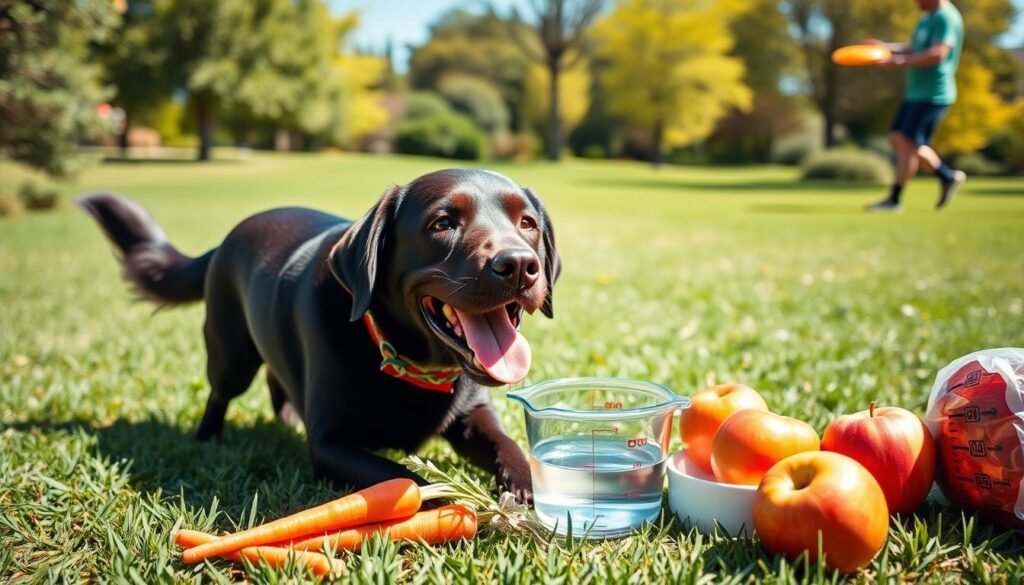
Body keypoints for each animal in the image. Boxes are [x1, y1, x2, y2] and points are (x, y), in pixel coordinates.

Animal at [77, 166, 561, 502]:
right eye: (442, 223)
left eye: (527, 224)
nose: (518, 264)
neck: (411, 362)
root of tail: (224, 241)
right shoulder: (330, 443)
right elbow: (404, 480)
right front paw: (456, 503)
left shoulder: (472, 415)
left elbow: (508, 443)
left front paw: (527, 486)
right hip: (230, 353)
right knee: (220, 392)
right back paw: (207, 437)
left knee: (278, 378)